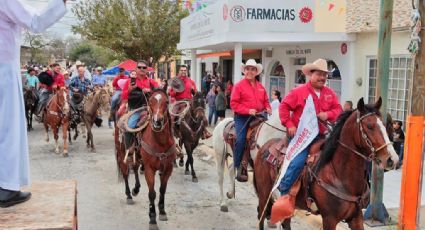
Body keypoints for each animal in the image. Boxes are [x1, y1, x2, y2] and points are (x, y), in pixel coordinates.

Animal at [137, 89, 175, 229]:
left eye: (167, 101)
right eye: (150, 101)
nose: (157, 121)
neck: (160, 142)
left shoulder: (168, 168)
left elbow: (162, 190)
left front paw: (162, 211)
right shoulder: (149, 169)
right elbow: (152, 193)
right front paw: (152, 218)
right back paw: (131, 192)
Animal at [252, 97, 398, 230]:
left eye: (385, 125)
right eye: (369, 126)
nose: (392, 159)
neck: (339, 174)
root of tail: (265, 146)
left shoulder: (356, 217)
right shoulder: (330, 219)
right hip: (264, 193)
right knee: (261, 216)